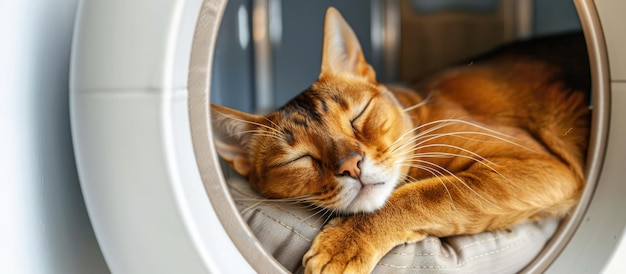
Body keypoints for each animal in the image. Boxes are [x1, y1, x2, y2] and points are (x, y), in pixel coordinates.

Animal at [212, 7, 588, 272]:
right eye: (299, 158)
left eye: (357, 115)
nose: (351, 165)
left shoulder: (542, 164)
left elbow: (421, 196)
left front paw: (343, 244)